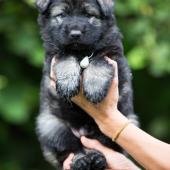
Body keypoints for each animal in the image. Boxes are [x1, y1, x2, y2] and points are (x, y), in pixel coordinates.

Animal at [35, 0, 138, 169]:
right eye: (62, 14)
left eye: (88, 14)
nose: (75, 34)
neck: (81, 52)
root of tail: (83, 131)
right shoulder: (53, 57)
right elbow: (65, 57)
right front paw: (68, 83)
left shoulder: (115, 59)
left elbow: (98, 61)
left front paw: (95, 88)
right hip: (51, 126)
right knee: (70, 150)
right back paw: (81, 160)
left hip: (127, 122)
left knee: (103, 146)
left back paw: (97, 159)